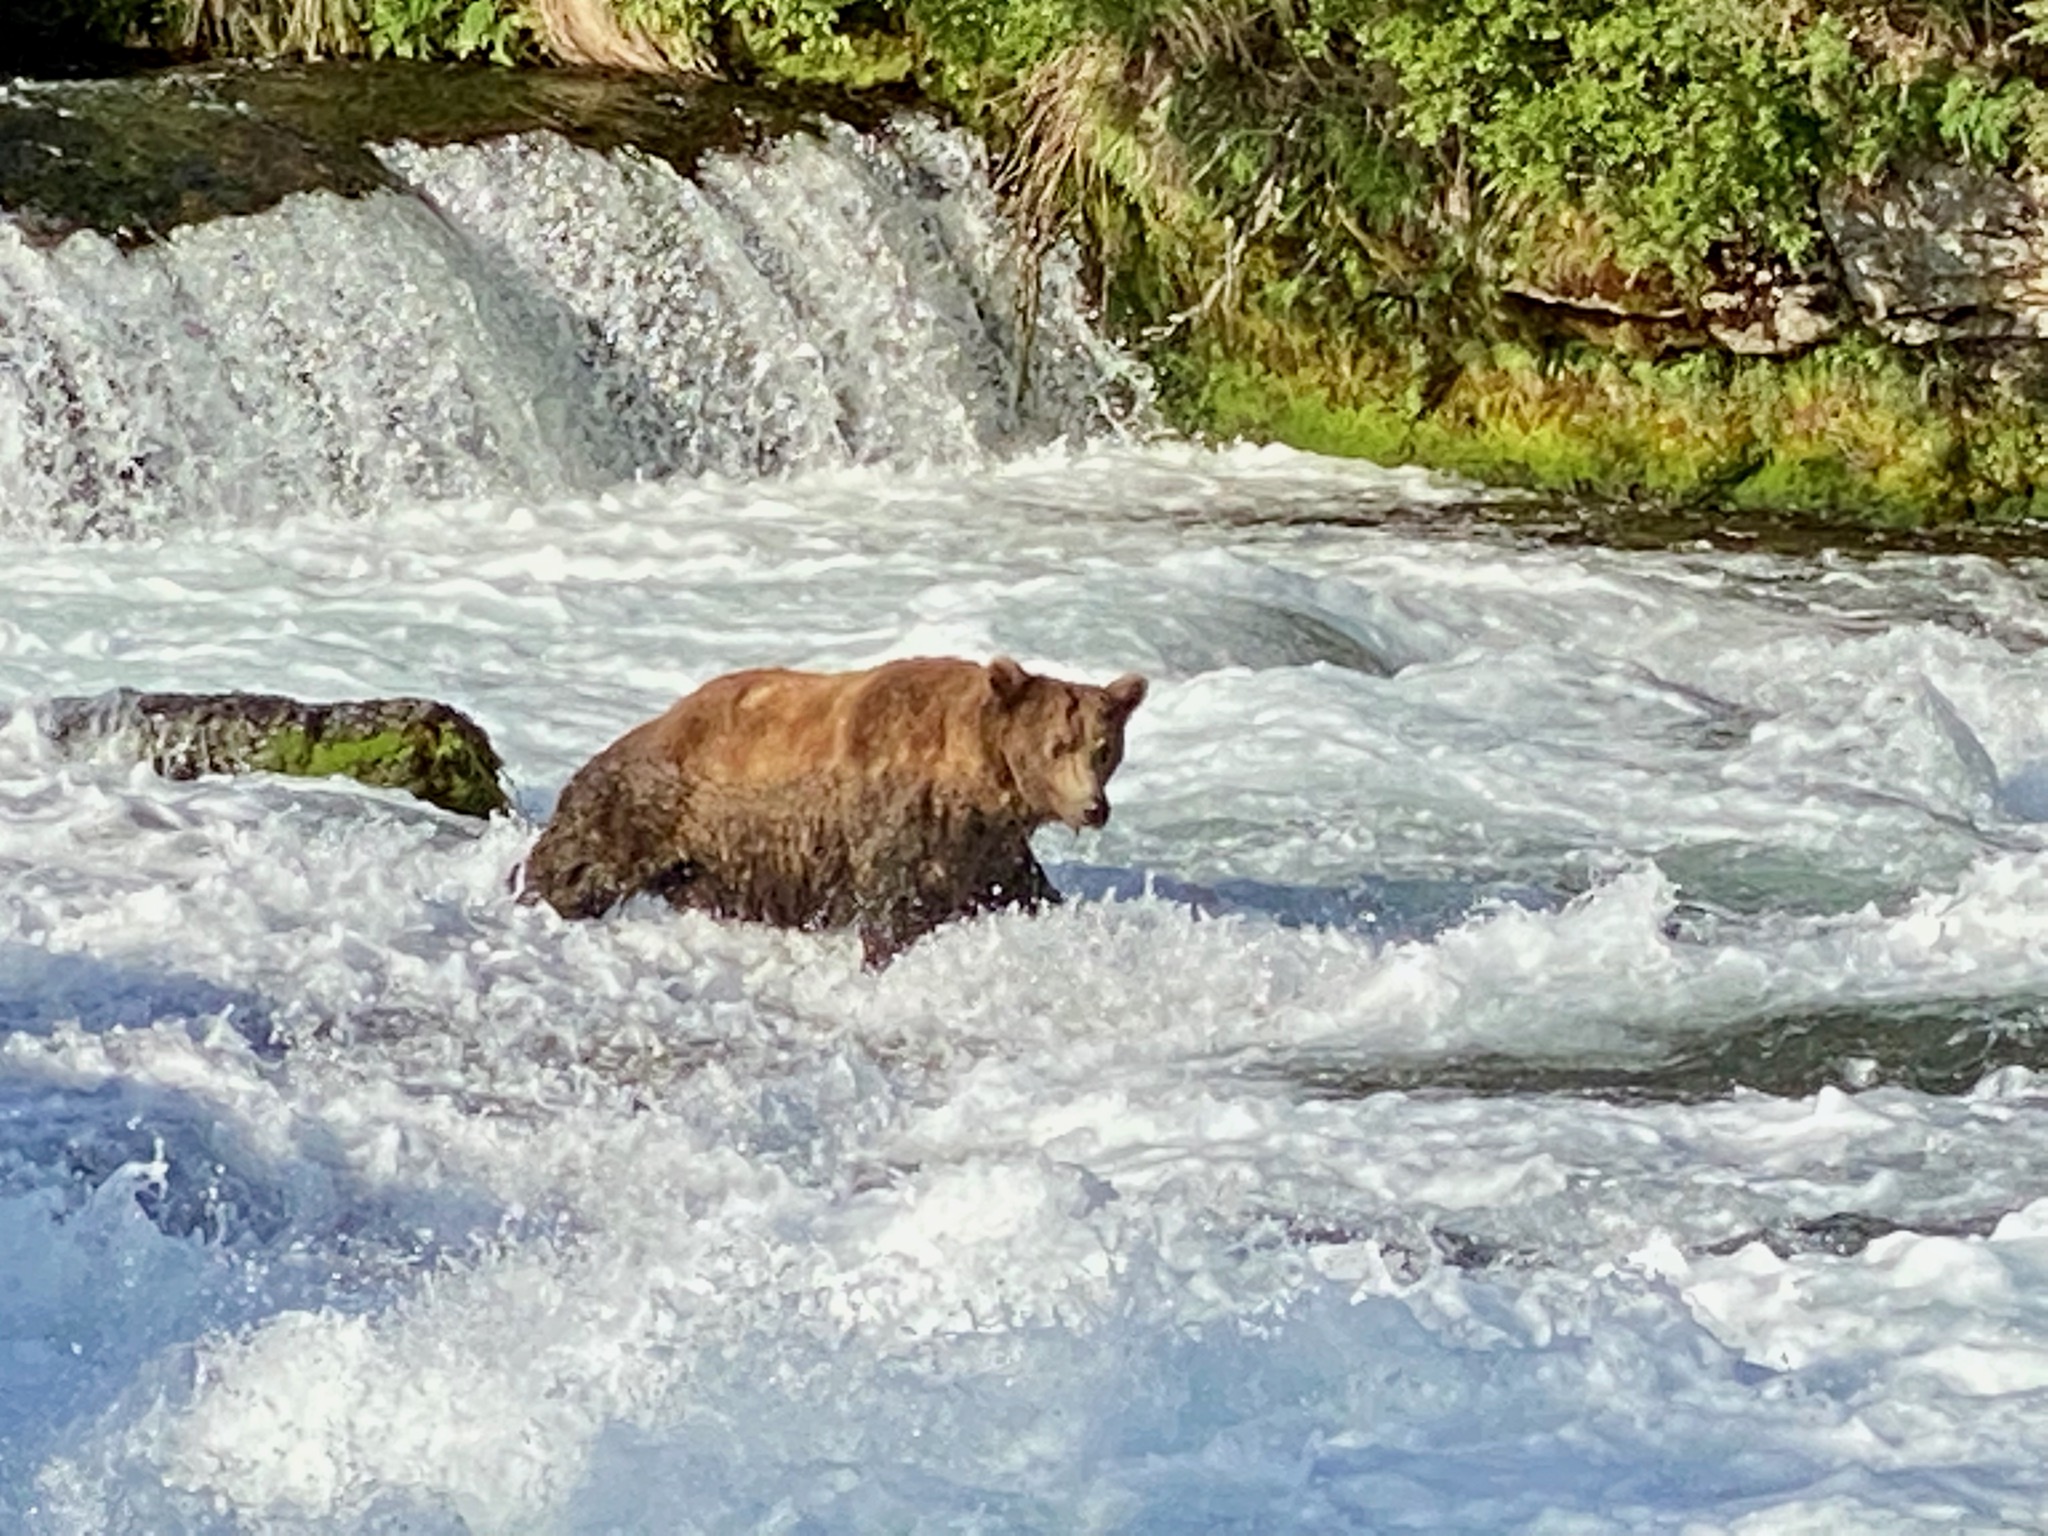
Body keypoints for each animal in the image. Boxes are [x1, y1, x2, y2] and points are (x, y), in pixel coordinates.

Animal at [518, 656, 1148, 965]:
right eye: (1057, 745)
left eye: (1103, 747)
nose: (1093, 808)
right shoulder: (895, 820)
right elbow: (894, 913)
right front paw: (883, 957)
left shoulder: (986, 847)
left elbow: (1025, 893)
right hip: (654, 800)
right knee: (578, 861)